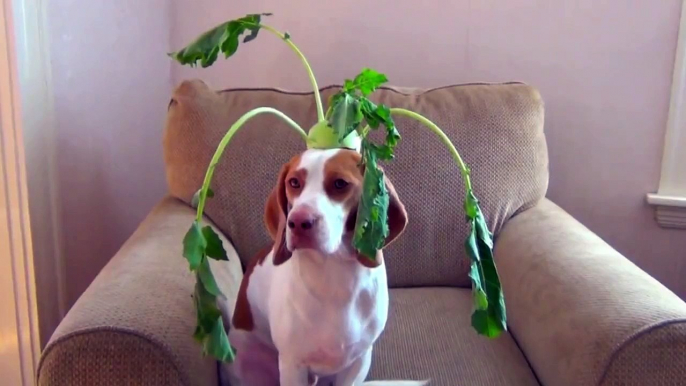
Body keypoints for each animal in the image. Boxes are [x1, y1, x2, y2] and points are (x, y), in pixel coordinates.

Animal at [223, 146, 430, 384]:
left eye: (340, 183)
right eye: (294, 182)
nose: (298, 222)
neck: (333, 273)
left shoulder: (359, 361)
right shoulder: (293, 365)